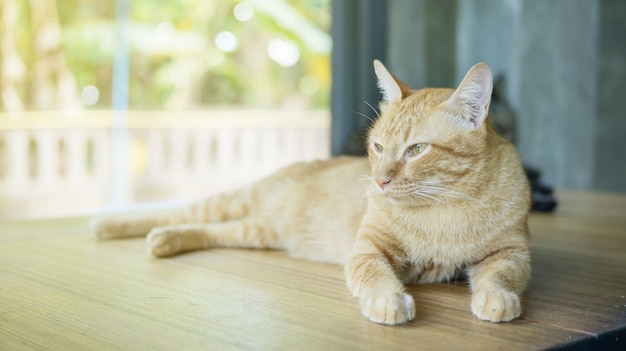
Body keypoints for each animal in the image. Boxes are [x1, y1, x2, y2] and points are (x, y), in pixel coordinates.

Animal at [91, 61, 528, 328]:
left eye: (416, 150)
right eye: (378, 147)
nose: (380, 181)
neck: (444, 208)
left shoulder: (511, 252)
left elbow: (500, 276)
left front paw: (497, 298)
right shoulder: (368, 249)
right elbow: (375, 275)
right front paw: (388, 300)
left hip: (258, 231)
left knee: (208, 229)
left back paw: (163, 242)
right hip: (237, 200)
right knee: (178, 212)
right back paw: (107, 224)